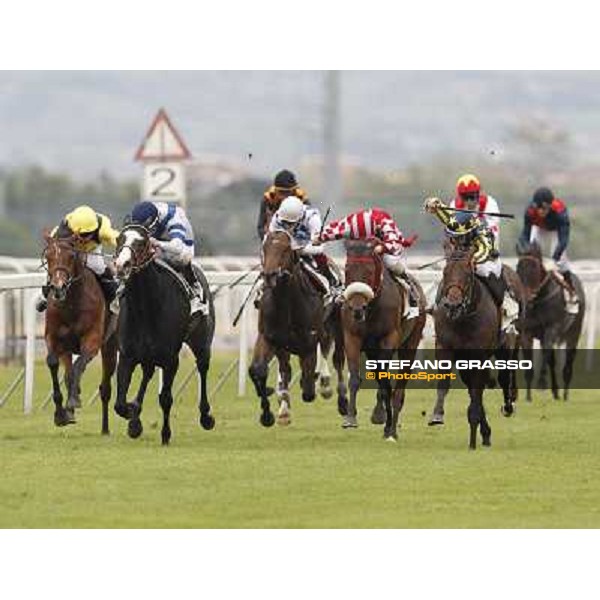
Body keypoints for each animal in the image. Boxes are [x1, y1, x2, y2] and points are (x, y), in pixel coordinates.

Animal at [42, 232, 117, 434]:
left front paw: (74, 400)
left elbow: (79, 366)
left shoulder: (92, 340)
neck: (71, 304)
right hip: (67, 349)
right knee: (68, 374)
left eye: (71, 256)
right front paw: (60, 414)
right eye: (48, 256)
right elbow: (53, 363)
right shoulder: (54, 339)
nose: (58, 287)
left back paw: (105, 429)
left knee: (105, 388)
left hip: (110, 347)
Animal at [112, 225, 216, 446]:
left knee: (203, 367)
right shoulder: (126, 356)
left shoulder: (171, 359)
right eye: (119, 239)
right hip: (148, 356)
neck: (145, 309)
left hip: (202, 342)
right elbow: (120, 403)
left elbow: (165, 398)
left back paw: (206, 416)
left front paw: (165, 434)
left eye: (142, 242)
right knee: (147, 373)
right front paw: (134, 419)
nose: (121, 264)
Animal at [342, 239, 426, 440]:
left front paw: (383, 419)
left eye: (369, 271)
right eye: (347, 269)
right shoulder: (352, 337)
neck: (371, 308)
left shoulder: (389, 338)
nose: (357, 309)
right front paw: (350, 418)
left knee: (400, 387)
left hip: (410, 343)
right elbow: (356, 378)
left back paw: (392, 428)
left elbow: (385, 381)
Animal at [428, 245, 516, 450]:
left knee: (503, 377)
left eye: (468, 274)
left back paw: (507, 407)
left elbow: (478, 391)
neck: (463, 319)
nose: (452, 305)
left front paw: (474, 436)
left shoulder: (479, 356)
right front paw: (437, 415)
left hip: (503, 347)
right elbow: (445, 384)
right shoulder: (444, 348)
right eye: (445, 272)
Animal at [512, 241, 584, 400]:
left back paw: (565, 394)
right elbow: (530, 361)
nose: (525, 298)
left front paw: (541, 383)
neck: (538, 301)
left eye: (534, 268)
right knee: (552, 360)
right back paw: (556, 391)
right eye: (518, 268)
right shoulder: (527, 332)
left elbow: (545, 353)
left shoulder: (551, 329)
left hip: (574, 333)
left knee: (568, 362)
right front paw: (528, 396)